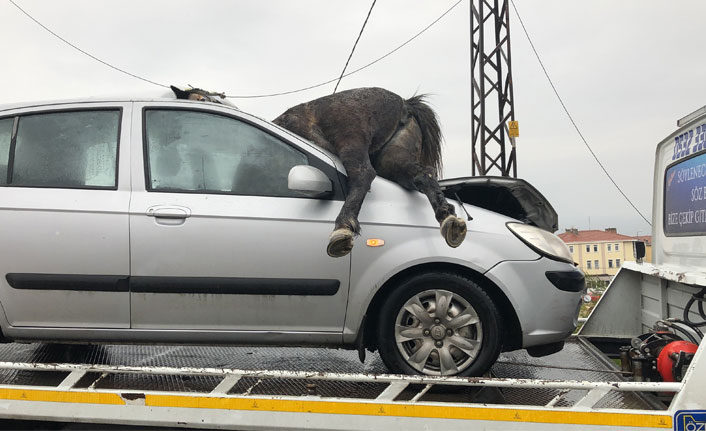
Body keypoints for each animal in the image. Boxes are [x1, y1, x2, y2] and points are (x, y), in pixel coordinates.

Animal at [272, 87, 464, 256]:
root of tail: (404, 104)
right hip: (392, 159)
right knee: (422, 175)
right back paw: (447, 217)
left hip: (350, 141)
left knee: (363, 174)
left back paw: (343, 227)